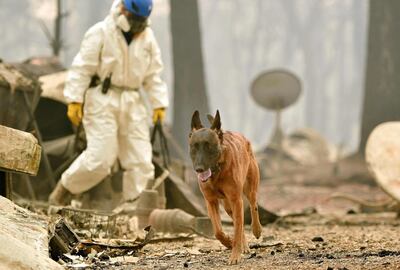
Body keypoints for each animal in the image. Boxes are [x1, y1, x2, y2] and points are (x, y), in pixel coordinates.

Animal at [190, 109, 262, 264]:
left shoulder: (236, 200)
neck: (216, 173)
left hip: (250, 189)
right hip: (228, 206)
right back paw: (243, 245)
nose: (199, 169)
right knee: (237, 222)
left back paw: (256, 230)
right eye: (194, 147)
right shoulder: (211, 202)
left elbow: (238, 228)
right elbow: (218, 231)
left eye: (209, 146)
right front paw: (229, 242)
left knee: (253, 205)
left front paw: (235, 255)